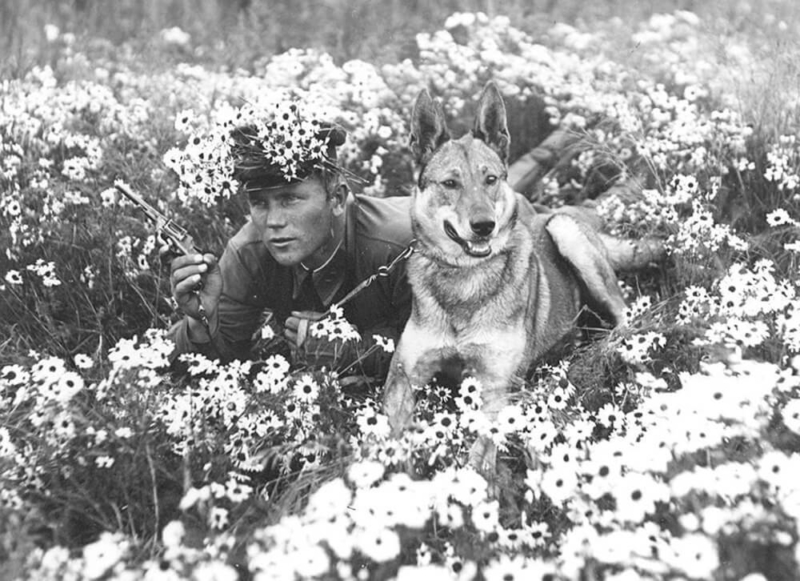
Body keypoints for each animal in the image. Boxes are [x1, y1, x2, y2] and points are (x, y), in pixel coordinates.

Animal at [382, 80, 664, 472]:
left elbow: (479, 453)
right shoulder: (403, 377)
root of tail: (563, 210)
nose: (484, 226)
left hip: (567, 233)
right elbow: (385, 437)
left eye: (490, 179)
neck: (466, 279)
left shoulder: (497, 385)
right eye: (450, 183)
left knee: (626, 316)